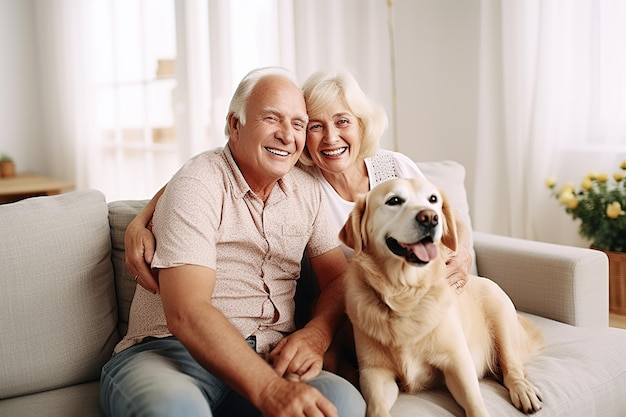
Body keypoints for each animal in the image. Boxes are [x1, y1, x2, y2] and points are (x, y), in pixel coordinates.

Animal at [336, 176, 540, 416]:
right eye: (394, 200)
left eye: (433, 199)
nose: (430, 218)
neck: (405, 292)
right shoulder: (374, 372)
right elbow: (377, 407)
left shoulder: (458, 362)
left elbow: (475, 404)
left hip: (501, 317)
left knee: (512, 368)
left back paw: (523, 390)